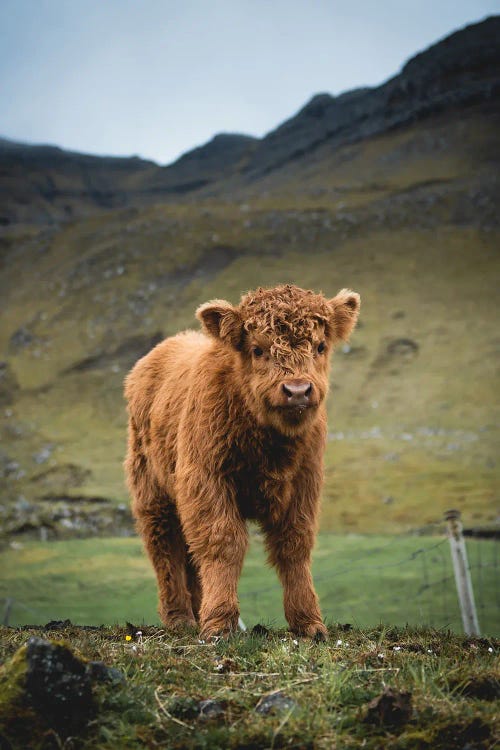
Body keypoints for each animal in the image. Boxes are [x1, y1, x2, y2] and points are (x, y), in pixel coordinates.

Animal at [124, 284, 360, 636]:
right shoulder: (207, 481)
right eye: (258, 350)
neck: (269, 448)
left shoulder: (304, 484)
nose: (297, 390)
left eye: (320, 346)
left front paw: (308, 623)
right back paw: (180, 618)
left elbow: (294, 546)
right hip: (153, 493)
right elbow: (223, 544)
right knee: (165, 548)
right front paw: (220, 623)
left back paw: (197, 612)